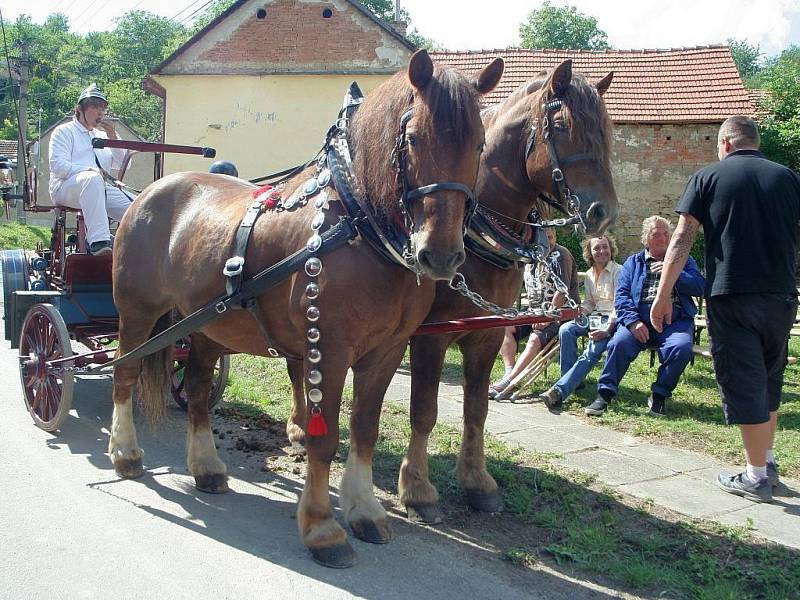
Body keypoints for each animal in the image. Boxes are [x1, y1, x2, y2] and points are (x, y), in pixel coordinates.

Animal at [108, 50, 500, 568]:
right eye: (413, 138)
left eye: (478, 143)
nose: (440, 254)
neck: (358, 226)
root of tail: (149, 192)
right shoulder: (327, 351)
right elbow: (324, 436)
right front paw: (321, 527)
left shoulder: (388, 351)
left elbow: (364, 428)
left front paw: (365, 510)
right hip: (138, 313)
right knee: (124, 373)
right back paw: (126, 452)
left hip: (210, 327)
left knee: (196, 389)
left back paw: (206, 467)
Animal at [400, 59, 620, 520]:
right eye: (561, 124)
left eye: (605, 130)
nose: (603, 211)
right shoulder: (430, 337)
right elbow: (424, 411)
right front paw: (417, 489)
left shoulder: (486, 335)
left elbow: (477, 410)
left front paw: (477, 481)